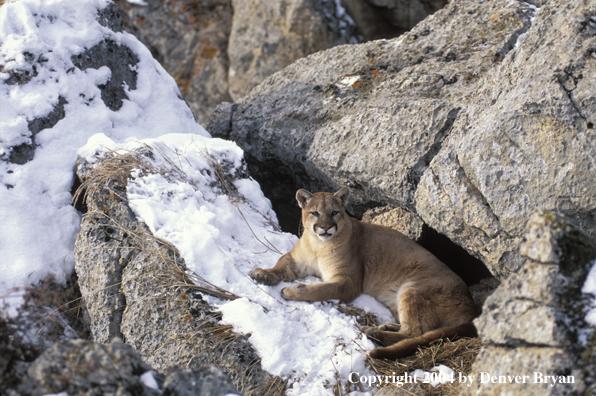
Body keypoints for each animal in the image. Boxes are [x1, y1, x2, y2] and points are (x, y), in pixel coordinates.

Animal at [249, 187, 478, 360]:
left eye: (334, 212)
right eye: (315, 213)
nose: (325, 227)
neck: (318, 246)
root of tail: (473, 307)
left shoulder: (347, 282)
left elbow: (320, 290)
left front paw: (292, 291)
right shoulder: (296, 261)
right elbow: (279, 265)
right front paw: (263, 274)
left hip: (413, 288)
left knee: (415, 332)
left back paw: (375, 334)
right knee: (411, 329)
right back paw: (386, 327)